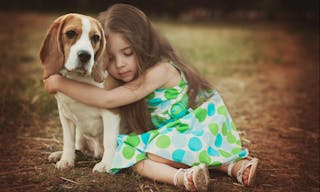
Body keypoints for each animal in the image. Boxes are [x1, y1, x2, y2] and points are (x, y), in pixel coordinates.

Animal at [39, 13, 119, 172]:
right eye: (70, 33)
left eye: (96, 37)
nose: (85, 56)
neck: (78, 79)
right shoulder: (65, 115)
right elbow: (68, 140)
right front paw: (66, 160)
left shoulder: (111, 112)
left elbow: (109, 139)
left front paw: (106, 165)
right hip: (81, 135)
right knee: (79, 148)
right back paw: (60, 154)